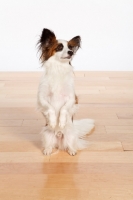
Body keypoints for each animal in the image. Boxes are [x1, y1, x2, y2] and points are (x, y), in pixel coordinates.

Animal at [37, 28, 94, 156]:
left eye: (70, 47)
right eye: (59, 47)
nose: (71, 52)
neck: (59, 68)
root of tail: (59, 135)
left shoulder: (71, 98)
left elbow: (63, 109)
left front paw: (61, 122)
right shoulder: (42, 98)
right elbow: (50, 108)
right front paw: (53, 122)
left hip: (71, 136)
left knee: (70, 145)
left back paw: (72, 151)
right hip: (46, 134)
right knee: (49, 145)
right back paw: (47, 150)